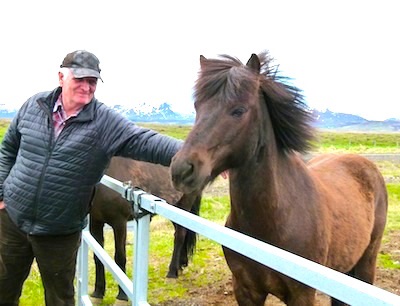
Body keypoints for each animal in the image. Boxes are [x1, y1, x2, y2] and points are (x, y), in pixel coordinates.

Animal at [87, 158, 200, 302]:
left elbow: (120, 258)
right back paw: (180, 265)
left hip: (183, 205)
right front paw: (97, 293)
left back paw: (171, 273)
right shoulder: (95, 222)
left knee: (179, 236)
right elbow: (98, 257)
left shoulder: (119, 223)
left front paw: (122, 296)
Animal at [170, 52, 388, 306]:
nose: (182, 169)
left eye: (238, 110)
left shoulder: (302, 295)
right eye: (197, 107)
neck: (277, 218)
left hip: (366, 264)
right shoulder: (245, 290)